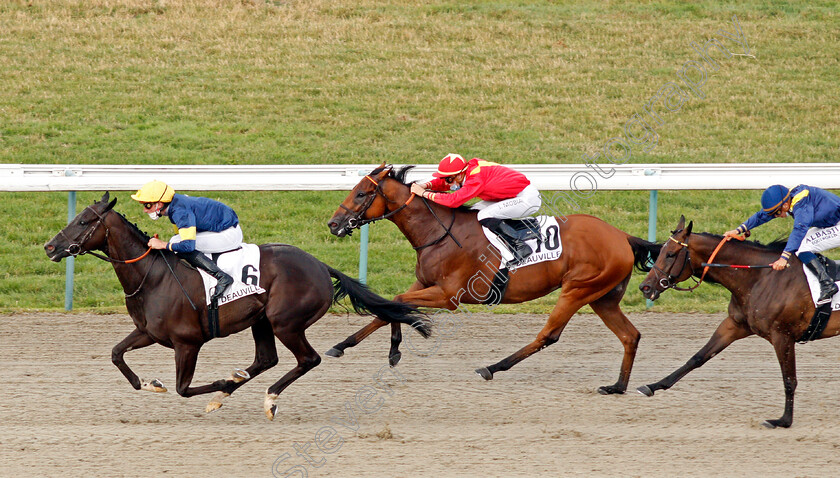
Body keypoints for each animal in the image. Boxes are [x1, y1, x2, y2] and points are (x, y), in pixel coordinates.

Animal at [42, 192, 430, 420]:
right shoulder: (147, 332)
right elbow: (116, 354)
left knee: (308, 359)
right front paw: (148, 383)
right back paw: (233, 390)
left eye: (84, 221)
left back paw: (266, 398)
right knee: (266, 359)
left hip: (285, 321)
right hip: (262, 320)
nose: (49, 247)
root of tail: (321, 265)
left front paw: (218, 382)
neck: (152, 275)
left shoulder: (187, 342)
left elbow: (183, 388)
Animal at [324, 166, 660, 394]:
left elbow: (397, 304)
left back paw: (492, 367)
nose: (334, 224)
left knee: (548, 335)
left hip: (578, 289)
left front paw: (397, 348)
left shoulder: (449, 295)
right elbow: (387, 308)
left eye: (361, 193)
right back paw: (617, 386)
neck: (438, 232)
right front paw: (343, 346)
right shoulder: (424, 284)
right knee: (630, 335)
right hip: (603, 297)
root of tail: (622, 236)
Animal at [636, 215, 840, 428]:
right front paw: (653, 385)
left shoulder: (782, 336)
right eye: (661, 251)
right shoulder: (734, 325)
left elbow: (789, 379)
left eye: (670, 254)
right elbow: (698, 357)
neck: (762, 277)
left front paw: (784, 420)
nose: (645, 287)